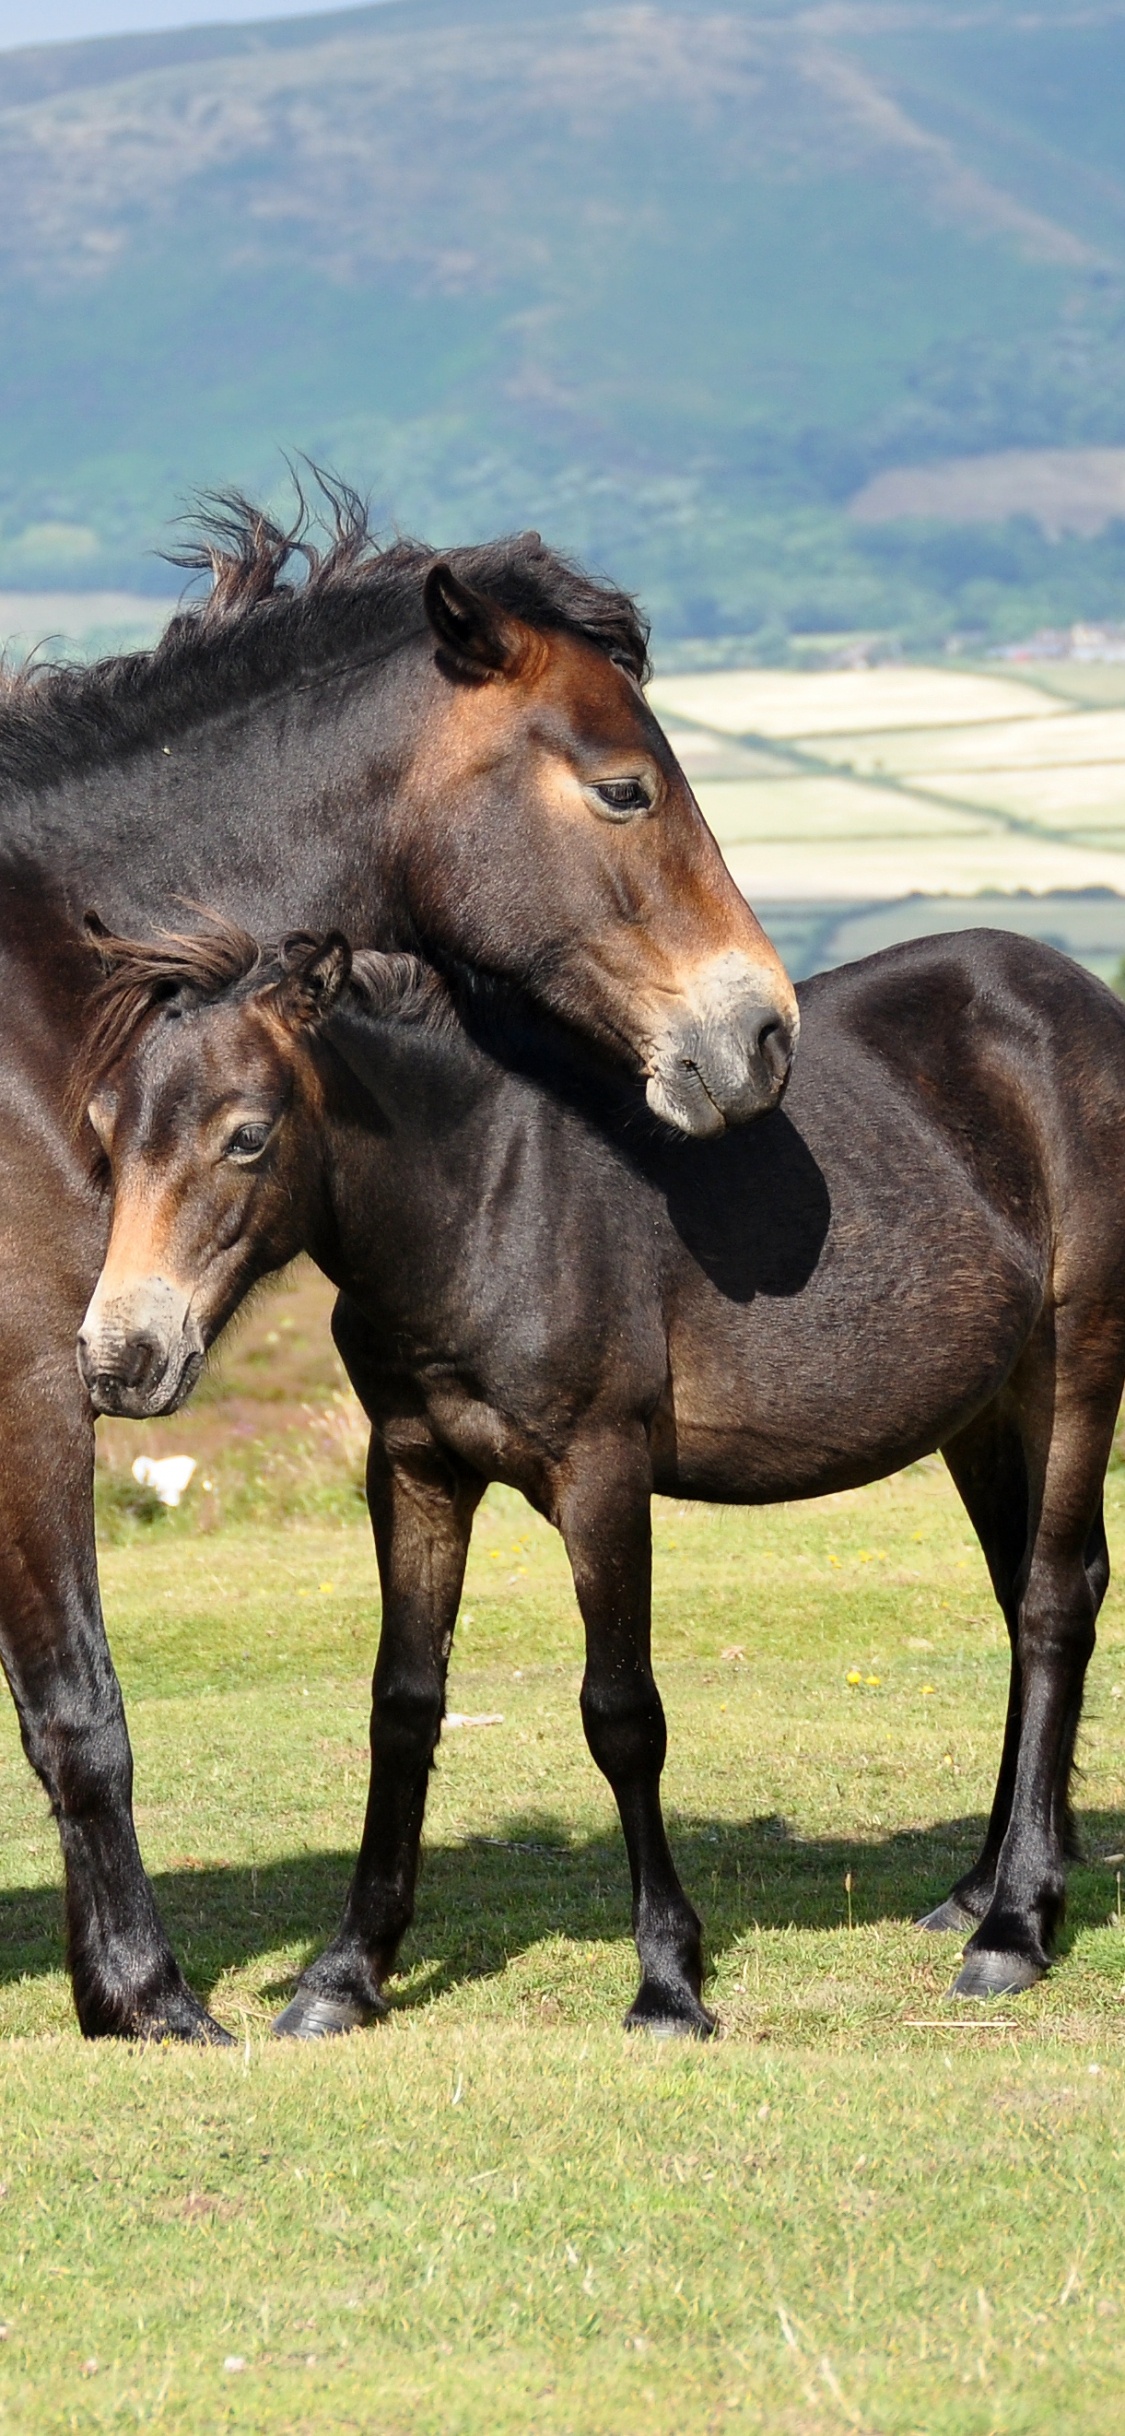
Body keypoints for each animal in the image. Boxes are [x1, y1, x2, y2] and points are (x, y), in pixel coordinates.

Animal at [76, 917, 1125, 2033]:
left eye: (245, 1135)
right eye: (102, 1127)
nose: (121, 1359)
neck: (488, 1202)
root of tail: (1081, 1001)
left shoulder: (601, 1474)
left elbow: (621, 1715)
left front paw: (668, 1979)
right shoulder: (412, 1466)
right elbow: (402, 1705)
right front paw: (344, 1976)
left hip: (1074, 1364)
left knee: (1054, 1607)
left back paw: (1011, 1928)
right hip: (983, 1410)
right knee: (1025, 1600)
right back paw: (983, 1886)